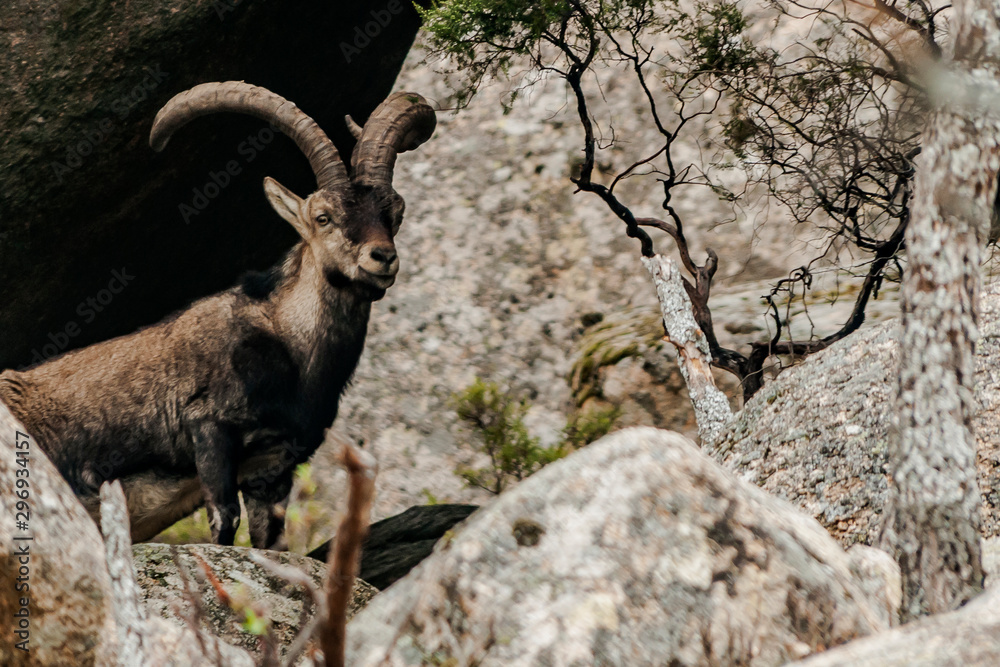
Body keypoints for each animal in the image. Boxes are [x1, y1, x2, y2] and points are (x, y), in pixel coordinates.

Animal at [0, 82, 435, 547]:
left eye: (395, 214)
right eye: (323, 217)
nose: (382, 257)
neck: (291, 344)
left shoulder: (271, 466)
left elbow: (269, 541)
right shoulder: (208, 428)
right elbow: (224, 520)